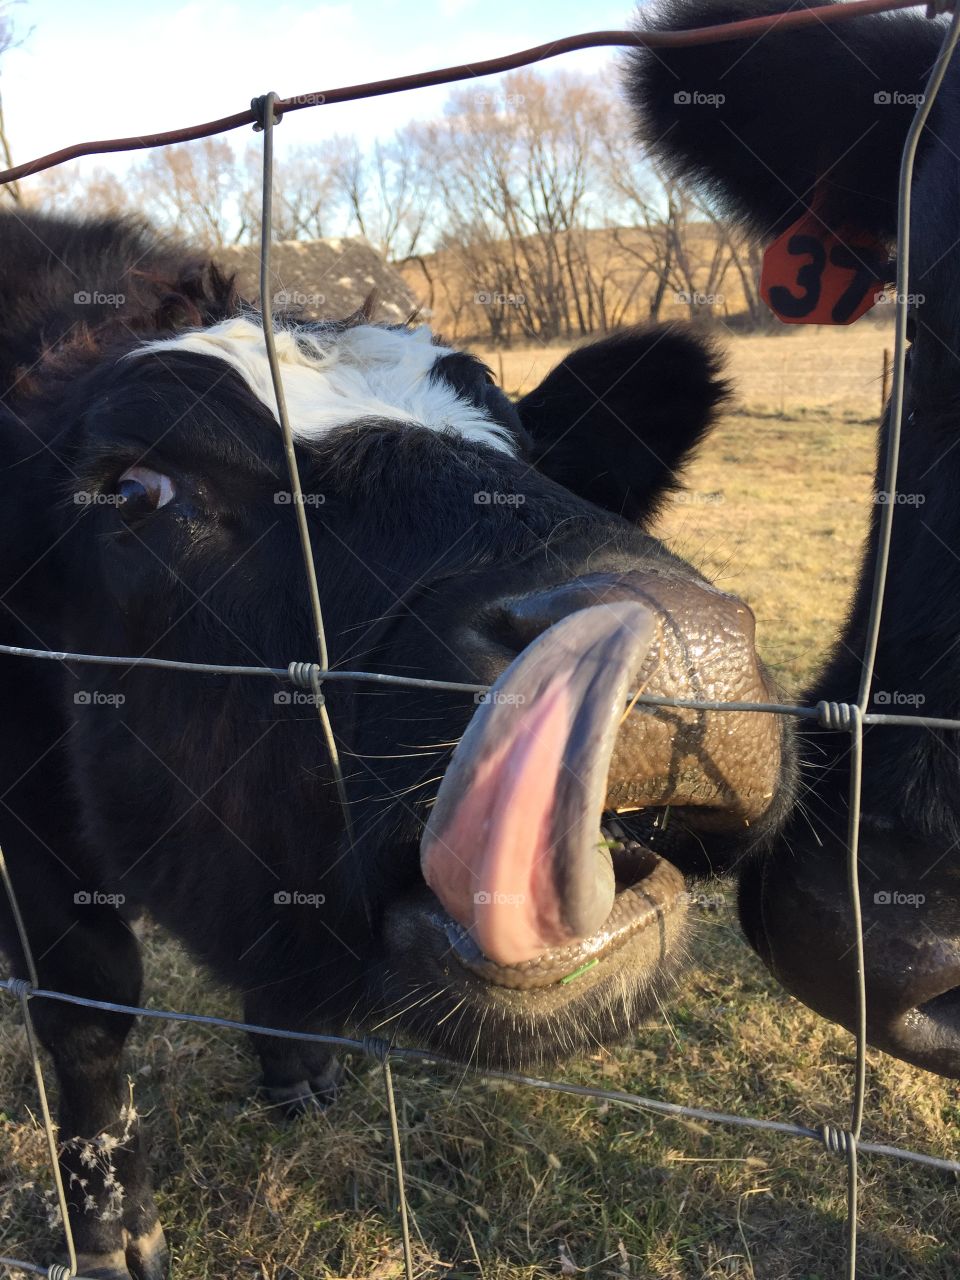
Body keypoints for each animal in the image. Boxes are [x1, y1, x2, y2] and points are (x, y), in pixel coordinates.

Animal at [1, 204, 798, 1274]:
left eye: (522, 445)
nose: (677, 641)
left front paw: (295, 1063)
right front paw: (108, 1232)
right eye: (133, 491)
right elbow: (87, 1008)